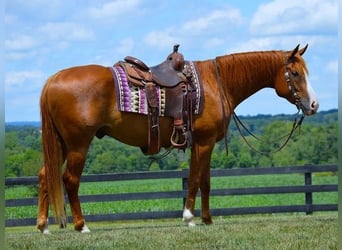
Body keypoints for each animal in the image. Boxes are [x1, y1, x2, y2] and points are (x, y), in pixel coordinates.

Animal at [36, 44, 318, 233]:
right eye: (294, 74)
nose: (314, 105)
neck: (217, 84)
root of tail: (53, 80)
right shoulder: (203, 143)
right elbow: (193, 180)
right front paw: (189, 217)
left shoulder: (203, 144)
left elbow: (205, 182)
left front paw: (207, 219)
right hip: (78, 145)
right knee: (69, 180)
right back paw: (81, 225)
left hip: (61, 144)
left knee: (44, 176)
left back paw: (43, 226)